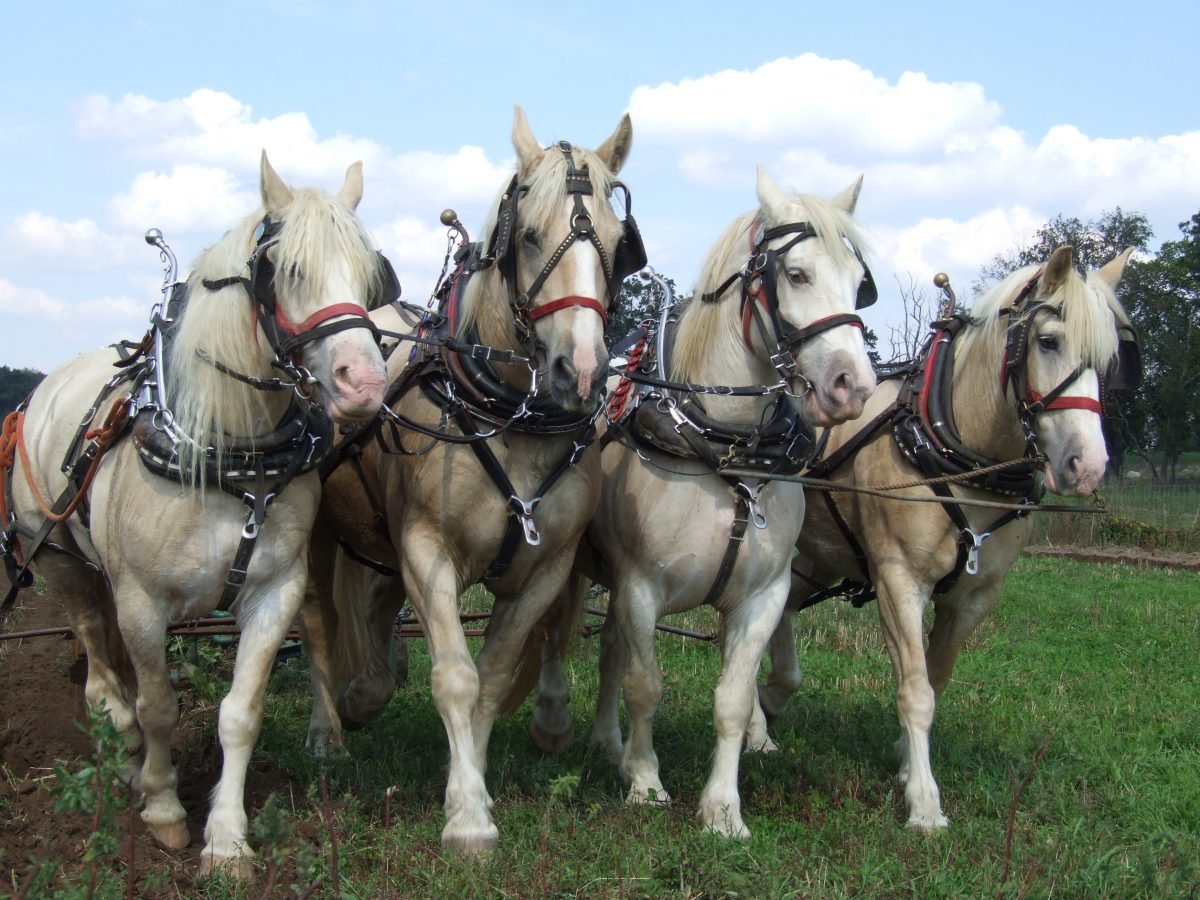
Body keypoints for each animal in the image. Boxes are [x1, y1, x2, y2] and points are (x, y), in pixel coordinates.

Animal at [2, 153, 386, 873]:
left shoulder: (274, 591)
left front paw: (228, 838)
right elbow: (157, 705)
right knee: (98, 656)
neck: (231, 456)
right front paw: (162, 806)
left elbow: (240, 712)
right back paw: (119, 740)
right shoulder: (140, 600)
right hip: (59, 558)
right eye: (287, 270)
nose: (366, 382)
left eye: (371, 274)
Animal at [535, 170, 883, 844]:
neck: (727, 450)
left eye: (860, 284)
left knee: (610, 651)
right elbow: (646, 685)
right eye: (796, 274)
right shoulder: (641, 585)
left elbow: (733, 699)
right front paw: (647, 783)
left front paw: (722, 808)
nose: (852, 387)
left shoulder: (763, 594)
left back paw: (609, 744)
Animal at [748, 244, 1132, 830]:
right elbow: (915, 691)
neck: (954, 449)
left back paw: (769, 705)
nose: (1086, 466)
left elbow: (936, 679)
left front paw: (909, 767)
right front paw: (925, 804)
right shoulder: (898, 582)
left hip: (819, 557)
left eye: (1109, 359)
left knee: (783, 610)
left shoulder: (972, 600)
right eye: (1048, 341)